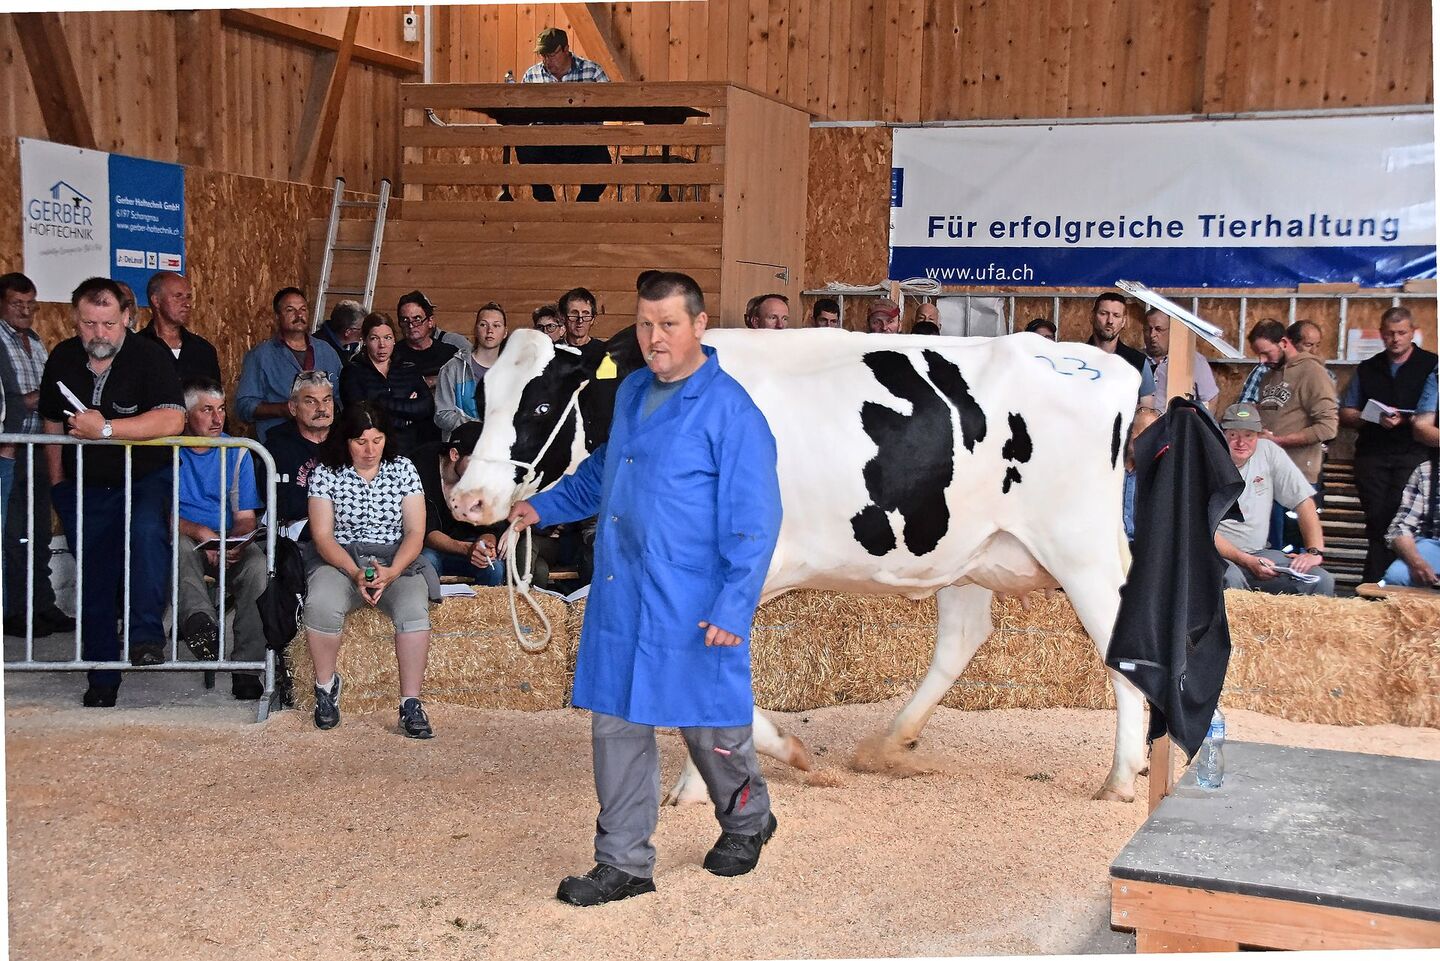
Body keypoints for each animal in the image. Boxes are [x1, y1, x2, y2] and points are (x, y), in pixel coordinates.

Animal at [449, 326, 1146, 802]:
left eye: (540, 407)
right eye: (484, 395)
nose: (467, 500)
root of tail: (1105, 364)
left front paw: (751, 764)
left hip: (1077, 546)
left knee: (1117, 639)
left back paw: (1121, 776)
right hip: (966, 551)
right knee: (963, 638)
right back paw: (889, 745)